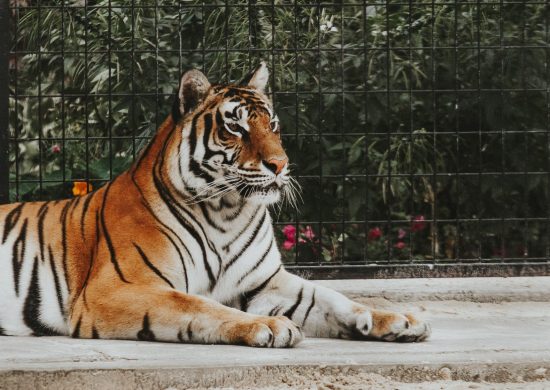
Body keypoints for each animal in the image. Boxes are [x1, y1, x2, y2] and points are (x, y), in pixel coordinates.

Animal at [0, 64, 432, 348]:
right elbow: (199, 305)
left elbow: (330, 297)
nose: (280, 165)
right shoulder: (118, 289)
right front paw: (270, 326)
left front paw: (398, 318)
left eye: (273, 125)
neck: (227, 212)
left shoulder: (266, 281)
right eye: (236, 127)